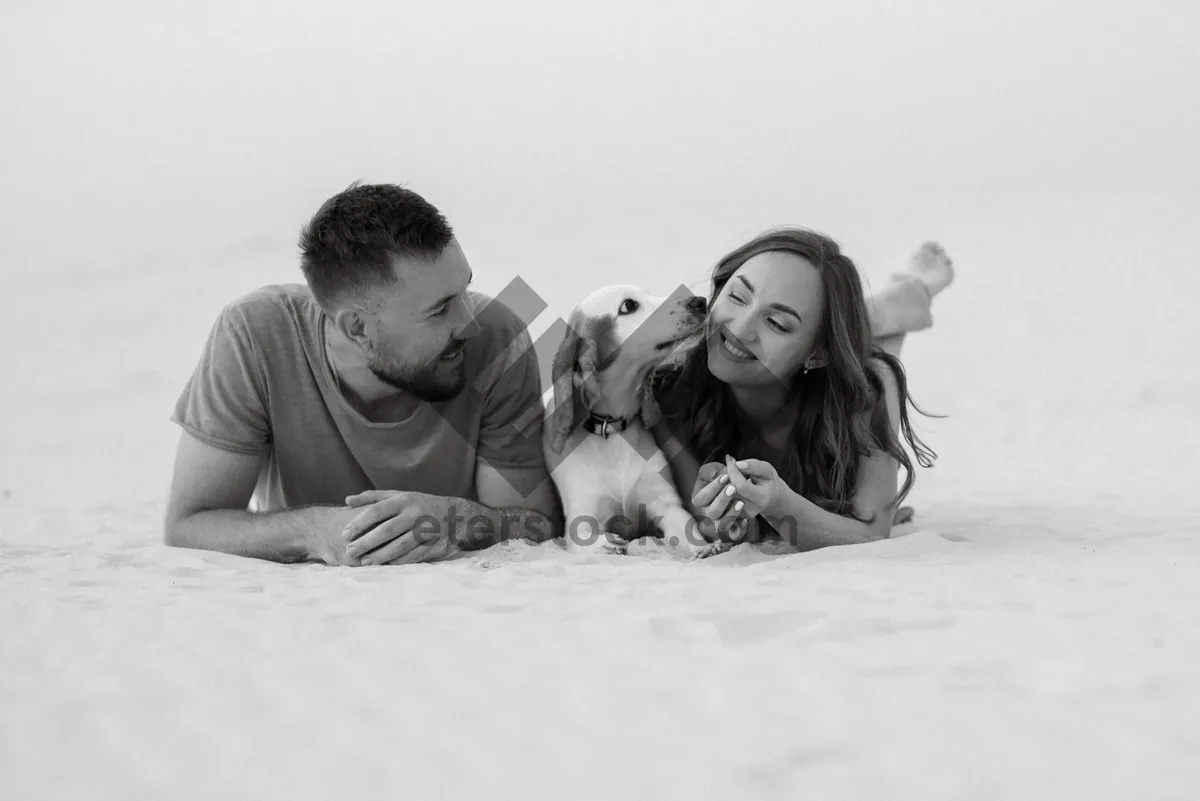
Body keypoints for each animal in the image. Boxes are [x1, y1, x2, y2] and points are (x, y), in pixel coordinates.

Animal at [544, 284, 729, 561]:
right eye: (628, 305)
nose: (699, 302)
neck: (610, 430)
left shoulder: (665, 503)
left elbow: (687, 528)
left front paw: (702, 546)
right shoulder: (582, 516)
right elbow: (590, 539)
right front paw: (608, 544)